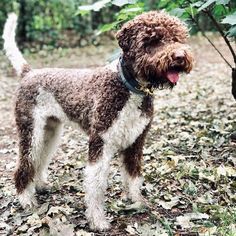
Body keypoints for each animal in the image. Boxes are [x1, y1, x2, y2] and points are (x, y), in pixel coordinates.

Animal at [2, 11, 194, 230]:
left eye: (177, 38)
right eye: (153, 40)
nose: (179, 56)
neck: (127, 87)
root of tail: (30, 72)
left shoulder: (136, 142)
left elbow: (134, 176)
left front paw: (137, 201)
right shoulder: (100, 143)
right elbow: (96, 185)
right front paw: (97, 220)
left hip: (50, 131)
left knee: (40, 159)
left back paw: (40, 185)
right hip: (31, 131)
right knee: (25, 164)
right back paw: (26, 199)